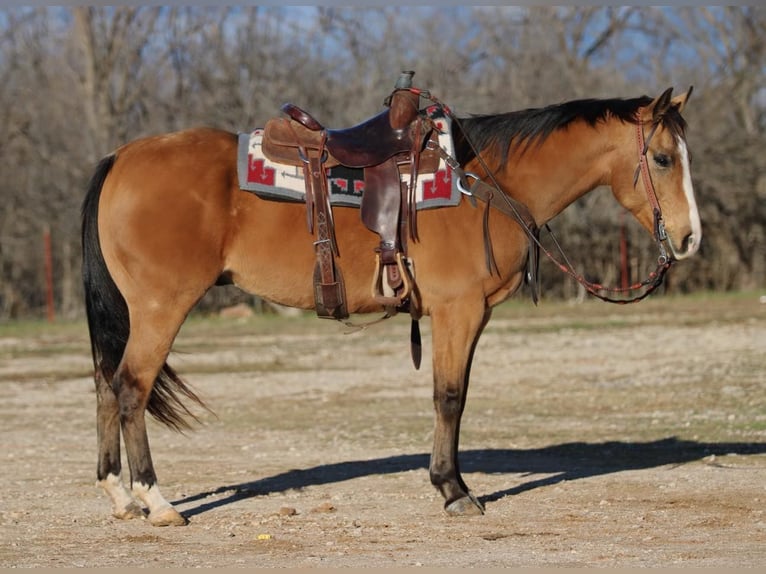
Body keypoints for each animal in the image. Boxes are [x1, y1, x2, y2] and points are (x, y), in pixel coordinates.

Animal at [82, 83, 704, 528]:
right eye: (663, 159)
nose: (691, 238)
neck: (483, 183)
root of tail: (119, 156)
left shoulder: (469, 315)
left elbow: (455, 396)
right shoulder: (459, 311)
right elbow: (450, 398)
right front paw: (454, 490)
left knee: (108, 385)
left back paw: (120, 496)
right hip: (162, 307)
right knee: (132, 388)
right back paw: (156, 501)